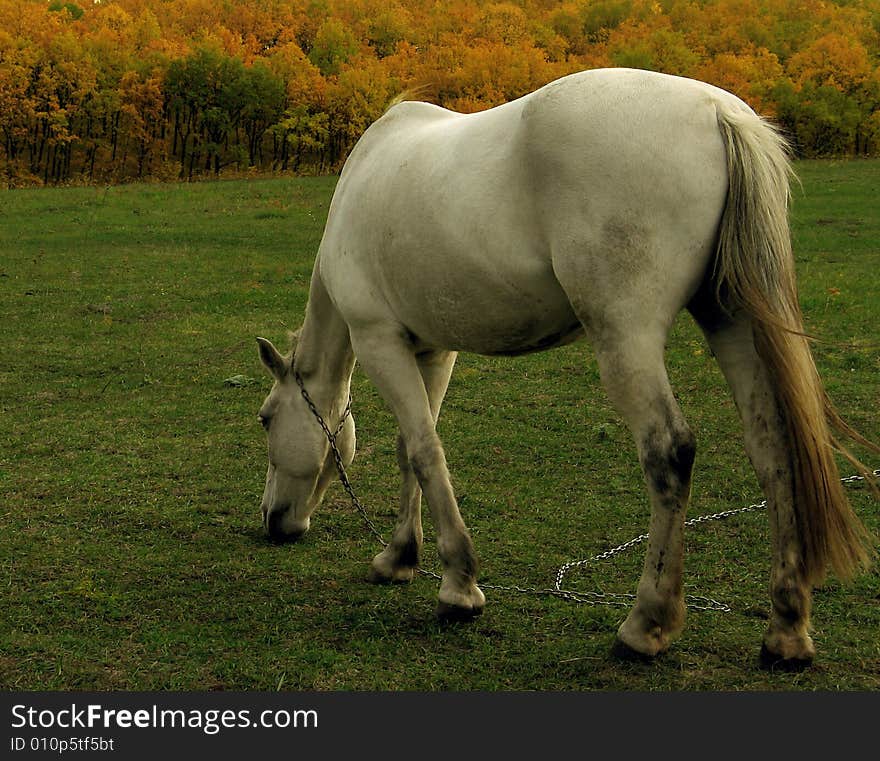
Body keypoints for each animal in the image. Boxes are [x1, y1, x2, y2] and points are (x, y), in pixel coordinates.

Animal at [254, 68, 872, 668]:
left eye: (265, 418)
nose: (272, 521)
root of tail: (719, 112)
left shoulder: (380, 341)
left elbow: (426, 452)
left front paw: (458, 586)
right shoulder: (431, 350)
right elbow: (413, 450)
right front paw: (400, 556)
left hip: (627, 337)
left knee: (669, 451)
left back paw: (646, 625)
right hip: (731, 319)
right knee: (773, 448)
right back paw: (786, 630)